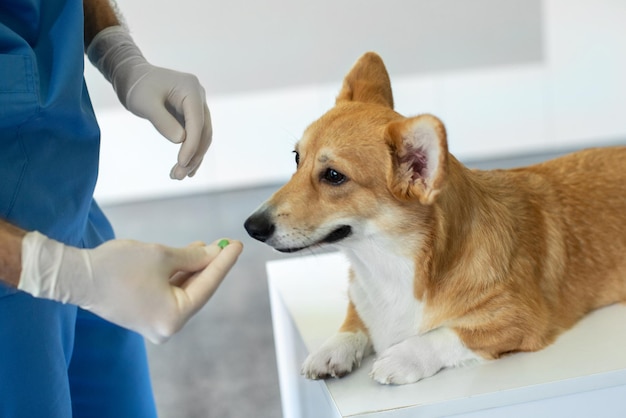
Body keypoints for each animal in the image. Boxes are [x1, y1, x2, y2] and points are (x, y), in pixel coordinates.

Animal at [243, 53, 624, 386]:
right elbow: (355, 320)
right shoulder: (361, 299)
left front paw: (403, 357)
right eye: (296, 158)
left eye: (334, 176)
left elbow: (449, 333)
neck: (390, 263)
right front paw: (332, 350)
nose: (251, 228)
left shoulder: (523, 319)